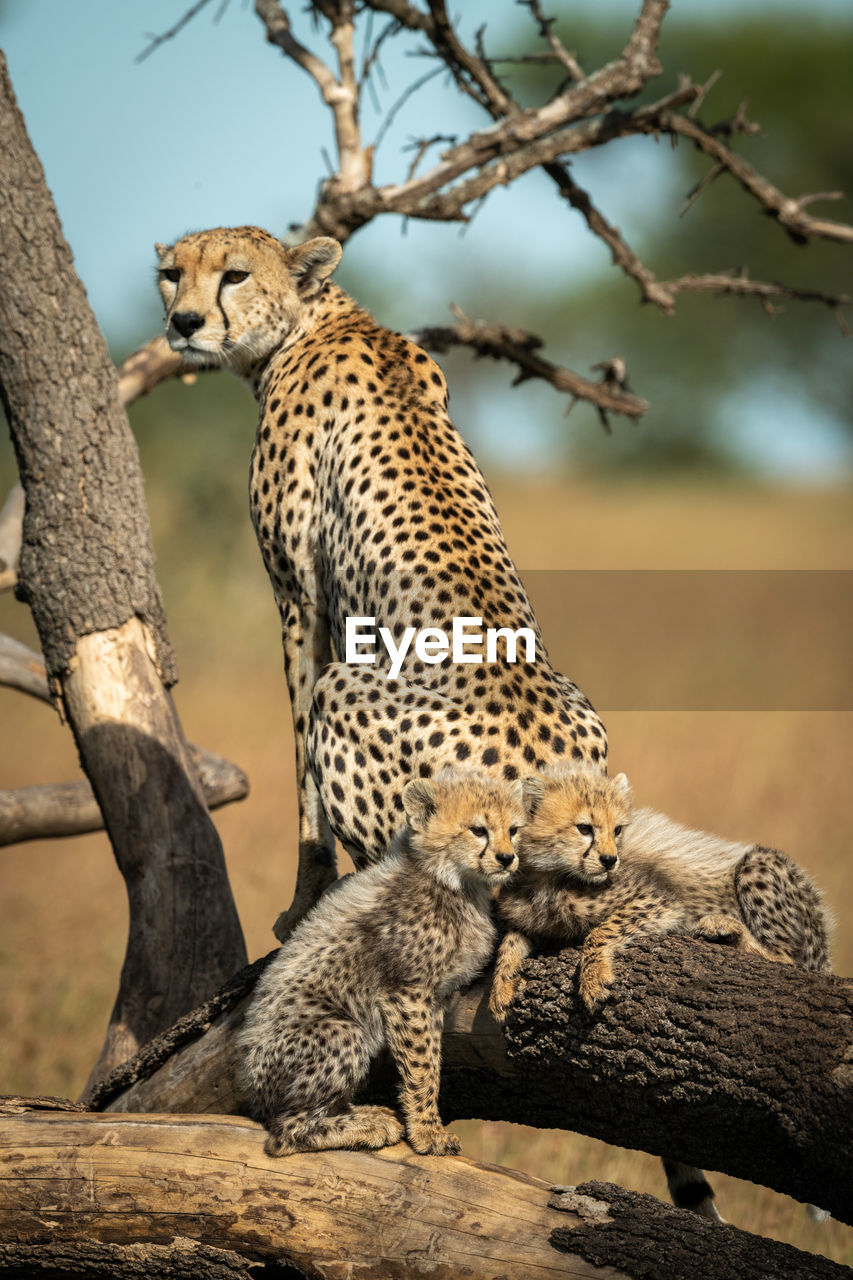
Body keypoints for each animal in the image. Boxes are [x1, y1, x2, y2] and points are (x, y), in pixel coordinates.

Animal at [154, 227, 604, 931]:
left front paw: (304, 901)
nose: (184, 322)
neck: (315, 321)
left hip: (348, 693)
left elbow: (302, 771)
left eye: (235, 275)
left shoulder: (299, 599)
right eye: (171, 274)